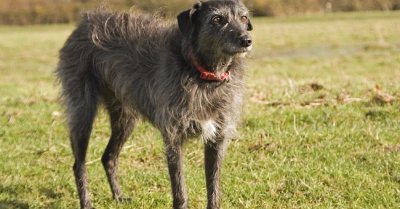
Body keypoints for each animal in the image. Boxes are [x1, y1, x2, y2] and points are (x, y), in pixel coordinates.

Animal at [55, 0, 253, 208]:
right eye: (217, 19)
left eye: (243, 17)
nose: (246, 40)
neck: (203, 75)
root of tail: (85, 23)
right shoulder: (173, 138)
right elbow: (180, 190)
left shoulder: (217, 139)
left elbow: (213, 188)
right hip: (82, 115)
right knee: (79, 165)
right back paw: (86, 202)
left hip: (125, 119)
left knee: (108, 157)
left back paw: (118, 196)